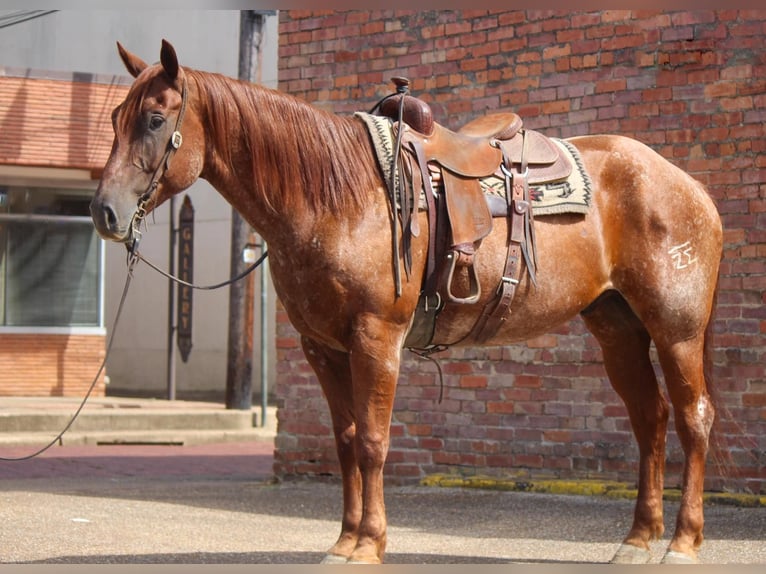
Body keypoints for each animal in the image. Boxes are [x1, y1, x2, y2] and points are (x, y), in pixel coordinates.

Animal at [91, 41, 728, 568]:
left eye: (154, 119)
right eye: (116, 119)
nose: (104, 212)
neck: (338, 199)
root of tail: (689, 186)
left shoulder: (377, 338)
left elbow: (374, 443)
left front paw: (369, 545)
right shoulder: (323, 348)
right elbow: (347, 441)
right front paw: (344, 542)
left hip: (676, 329)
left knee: (693, 419)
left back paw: (682, 542)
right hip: (618, 328)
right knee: (650, 420)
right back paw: (638, 540)